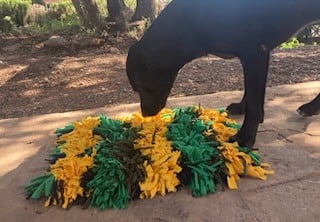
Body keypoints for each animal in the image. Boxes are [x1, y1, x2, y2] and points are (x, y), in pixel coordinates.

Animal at [126, 0, 318, 149]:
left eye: (142, 87)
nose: (146, 114)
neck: (191, 21)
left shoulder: (255, 53)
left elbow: (254, 101)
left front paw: (245, 137)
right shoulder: (254, 57)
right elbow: (251, 93)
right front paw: (242, 108)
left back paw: (310, 107)